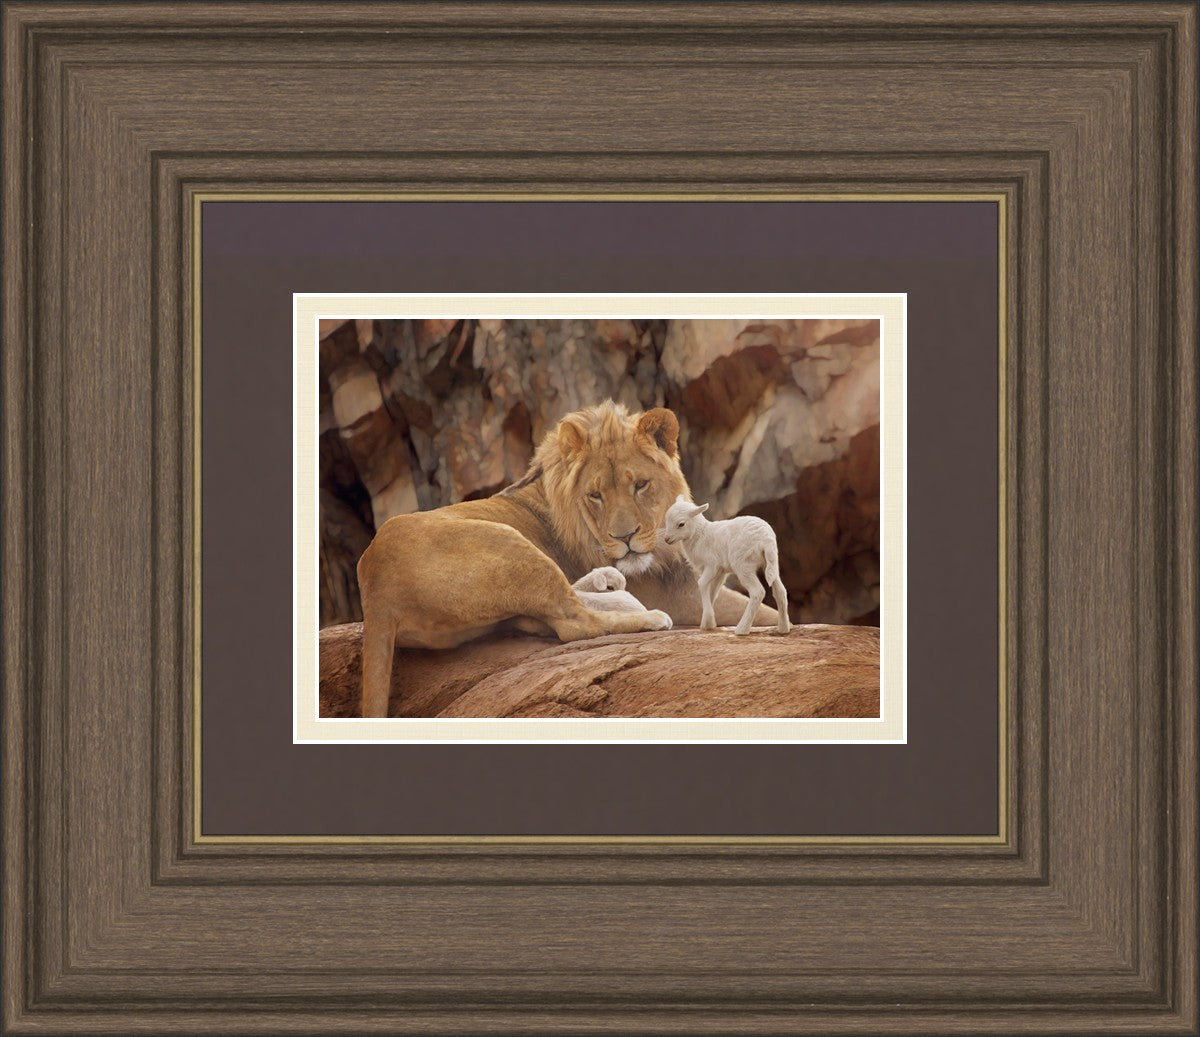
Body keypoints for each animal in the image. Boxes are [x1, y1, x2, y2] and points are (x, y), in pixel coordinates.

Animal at [662, 496, 791, 636]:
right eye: (666, 519)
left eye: (681, 524)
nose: (667, 539)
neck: (700, 535)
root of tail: (766, 539)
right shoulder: (720, 572)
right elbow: (713, 592)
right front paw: (707, 623)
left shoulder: (712, 565)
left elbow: (702, 584)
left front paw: (708, 621)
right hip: (771, 563)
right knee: (780, 591)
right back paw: (783, 628)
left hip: (743, 565)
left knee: (758, 592)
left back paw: (742, 629)